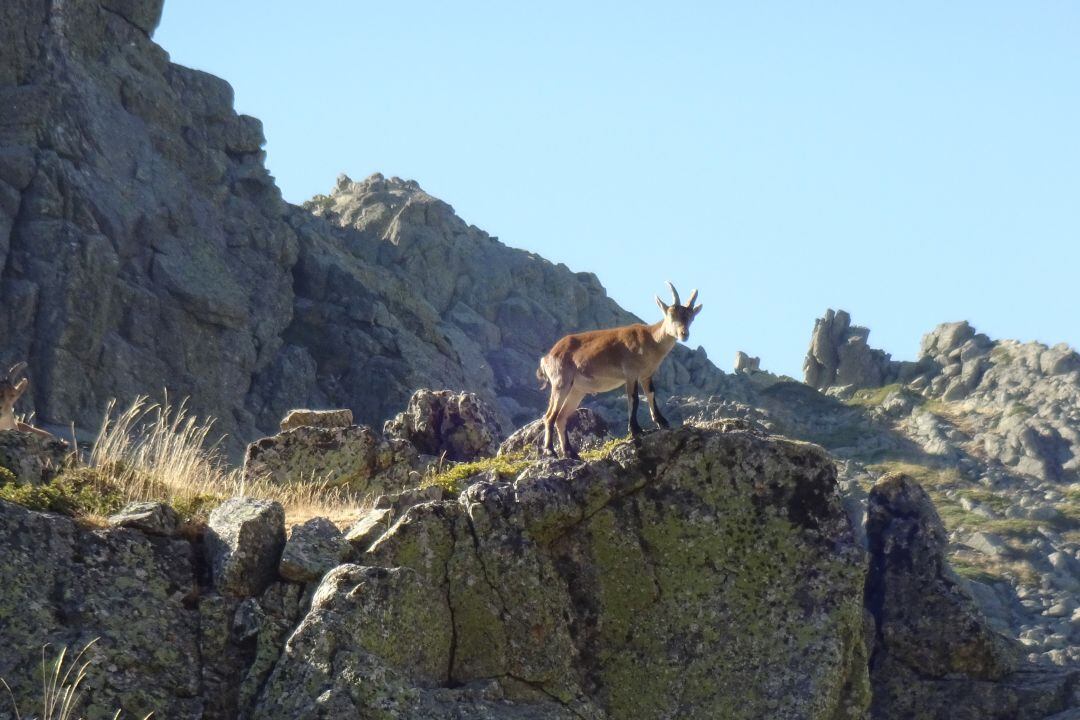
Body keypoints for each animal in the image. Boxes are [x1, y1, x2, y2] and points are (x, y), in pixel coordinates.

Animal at [537, 280, 704, 455]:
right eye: (671, 315)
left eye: (691, 318)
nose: (684, 334)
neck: (651, 340)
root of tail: (547, 356)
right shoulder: (631, 373)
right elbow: (634, 398)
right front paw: (636, 429)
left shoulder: (646, 375)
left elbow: (651, 394)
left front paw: (661, 422)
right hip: (561, 382)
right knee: (550, 416)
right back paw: (550, 450)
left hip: (576, 390)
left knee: (561, 417)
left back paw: (570, 453)